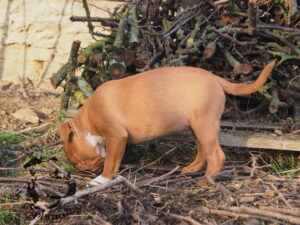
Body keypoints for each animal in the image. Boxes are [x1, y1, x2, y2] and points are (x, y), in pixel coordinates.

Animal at [57, 59, 276, 185]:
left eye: (72, 158)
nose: (77, 170)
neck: (88, 123)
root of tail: (215, 78)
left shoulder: (116, 136)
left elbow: (110, 161)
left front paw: (102, 179)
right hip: (197, 127)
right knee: (203, 151)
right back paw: (191, 170)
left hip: (204, 125)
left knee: (216, 155)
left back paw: (206, 182)